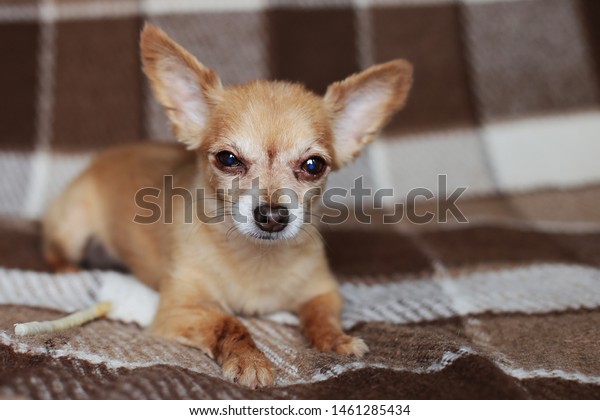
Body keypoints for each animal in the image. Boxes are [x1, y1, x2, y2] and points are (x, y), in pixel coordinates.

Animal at [41, 24, 412, 388]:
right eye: (228, 159)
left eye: (313, 165)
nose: (272, 215)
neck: (256, 260)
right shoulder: (179, 309)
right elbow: (229, 322)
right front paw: (250, 361)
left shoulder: (324, 292)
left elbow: (321, 315)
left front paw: (336, 339)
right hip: (72, 229)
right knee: (54, 252)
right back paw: (70, 271)